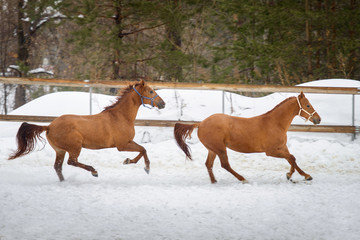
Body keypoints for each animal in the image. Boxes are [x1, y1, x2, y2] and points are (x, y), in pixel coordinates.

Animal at [8, 79, 166, 181]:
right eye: (151, 91)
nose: (162, 103)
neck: (120, 117)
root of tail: (49, 126)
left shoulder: (127, 142)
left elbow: (143, 149)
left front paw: (138, 165)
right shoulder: (122, 145)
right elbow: (143, 149)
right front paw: (138, 165)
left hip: (60, 150)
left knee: (58, 167)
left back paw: (64, 182)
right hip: (75, 147)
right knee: (71, 162)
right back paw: (94, 171)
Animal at [174, 92, 320, 184]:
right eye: (308, 105)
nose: (318, 119)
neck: (275, 123)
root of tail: (200, 123)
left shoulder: (282, 147)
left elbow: (291, 159)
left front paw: (296, 175)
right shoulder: (271, 151)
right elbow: (292, 158)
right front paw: (300, 176)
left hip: (212, 149)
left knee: (208, 164)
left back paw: (214, 181)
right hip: (220, 149)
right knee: (225, 165)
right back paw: (243, 179)